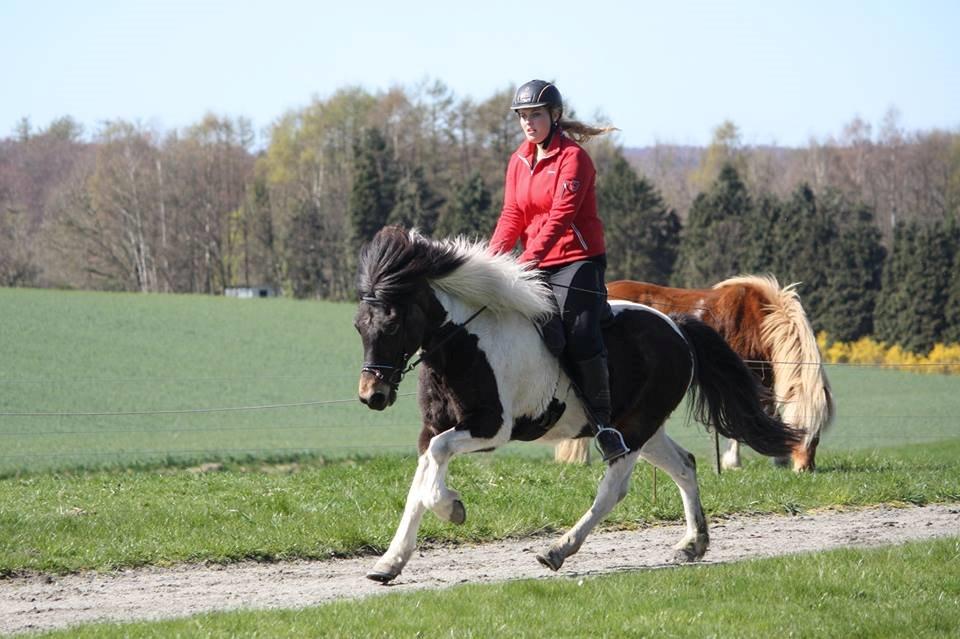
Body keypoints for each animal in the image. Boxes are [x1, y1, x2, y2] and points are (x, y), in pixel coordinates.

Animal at [356, 228, 800, 584]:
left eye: (392, 324)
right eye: (360, 326)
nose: (371, 396)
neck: (465, 342)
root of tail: (677, 327)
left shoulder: (490, 428)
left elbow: (436, 462)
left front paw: (452, 509)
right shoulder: (433, 429)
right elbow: (420, 480)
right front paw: (390, 562)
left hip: (633, 430)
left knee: (615, 487)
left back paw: (557, 550)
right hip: (643, 427)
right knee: (685, 465)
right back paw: (692, 544)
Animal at [556, 278, 832, 472]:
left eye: (819, 433)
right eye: (806, 430)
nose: (805, 468)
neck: (760, 320)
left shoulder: (766, 378)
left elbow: (769, 414)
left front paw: (778, 458)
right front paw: (734, 462)